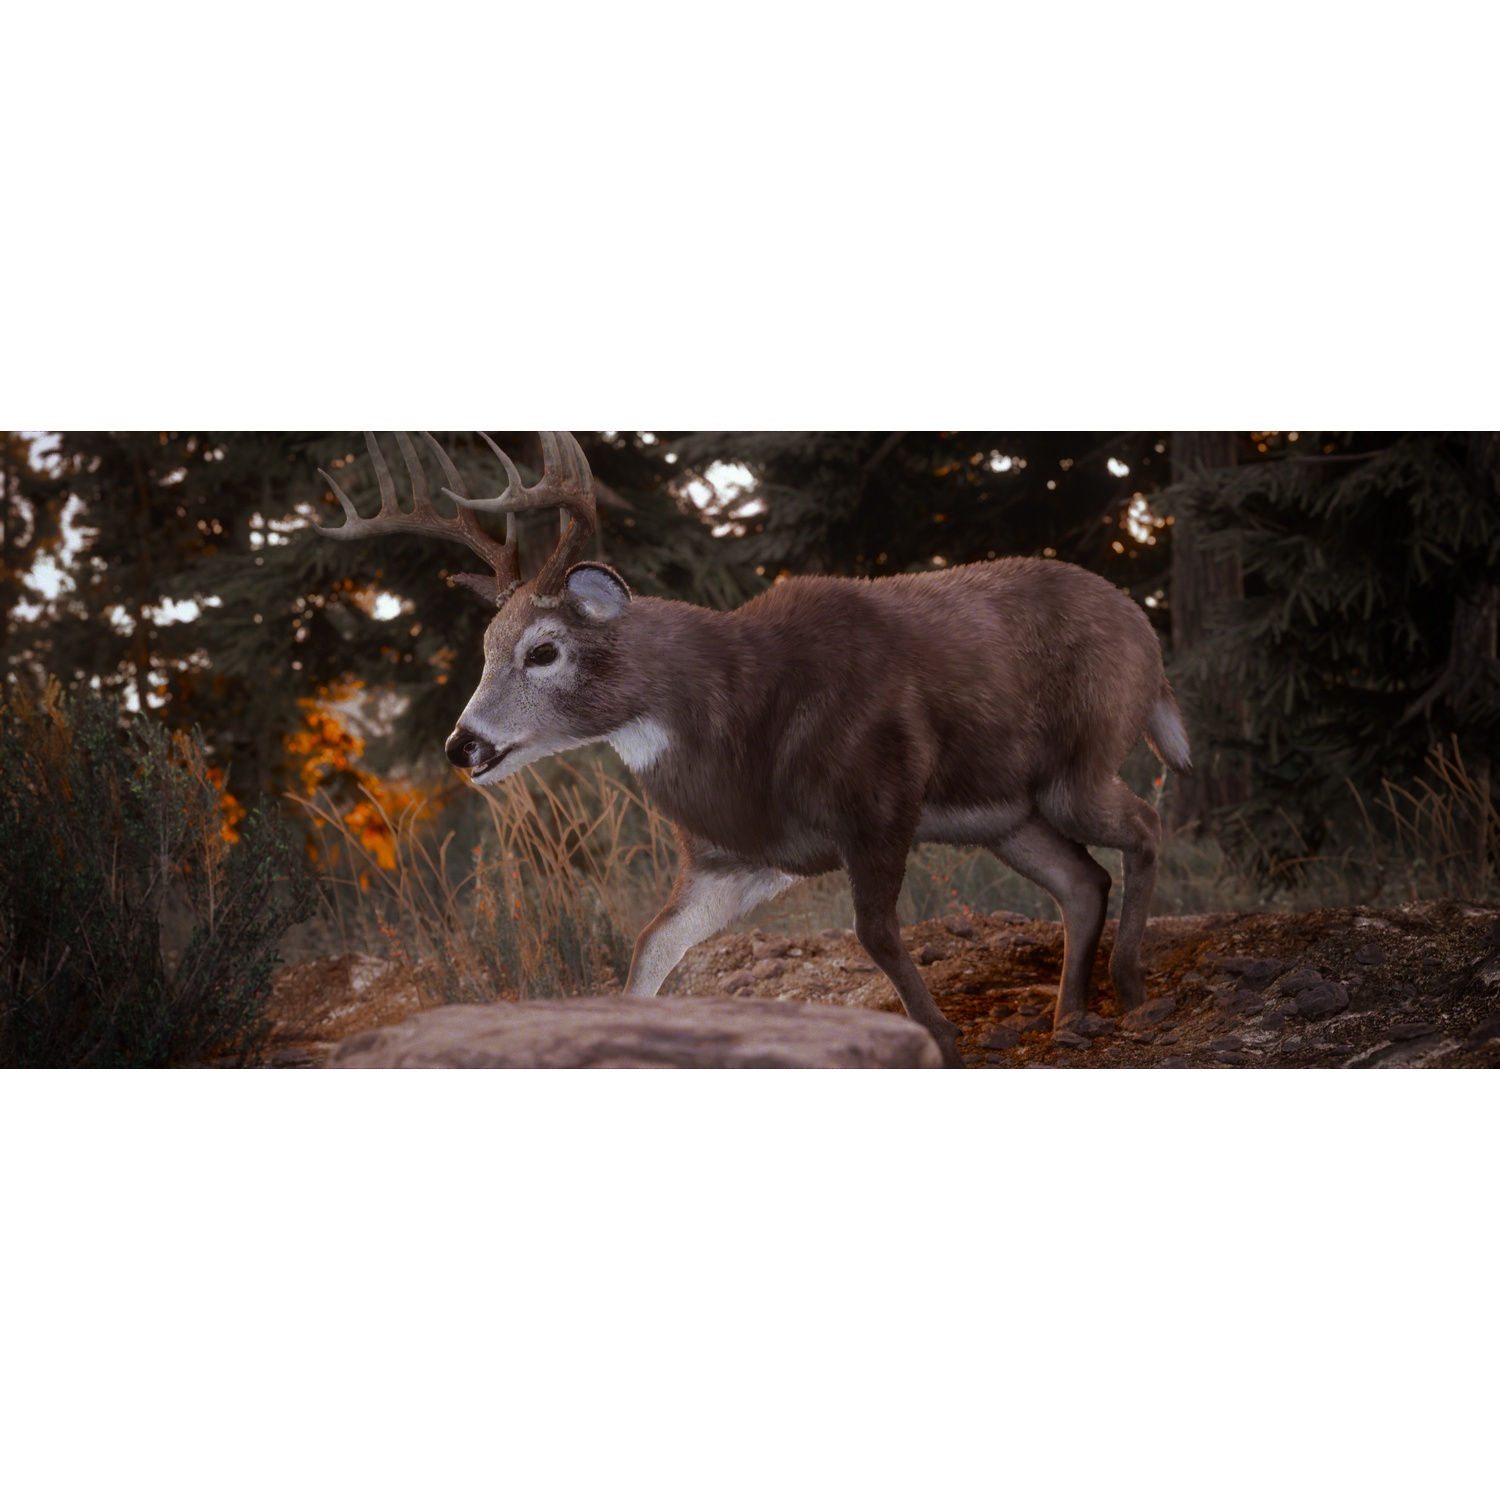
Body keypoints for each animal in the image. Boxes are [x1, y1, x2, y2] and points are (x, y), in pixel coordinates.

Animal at [314, 431, 1193, 1068]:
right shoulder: (739, 856)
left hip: (1081, 759)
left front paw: (941, 1038)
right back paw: (1072, 1015)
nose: (462, 746)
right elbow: (650, 947)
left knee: (1148, 823)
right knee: (1083, 880)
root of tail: (1148, 638)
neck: (739, 717)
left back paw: (1129, 989)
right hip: (1005, 814)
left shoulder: (880, 795)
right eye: (485, 647)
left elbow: (875, 930)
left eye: (543, 650)